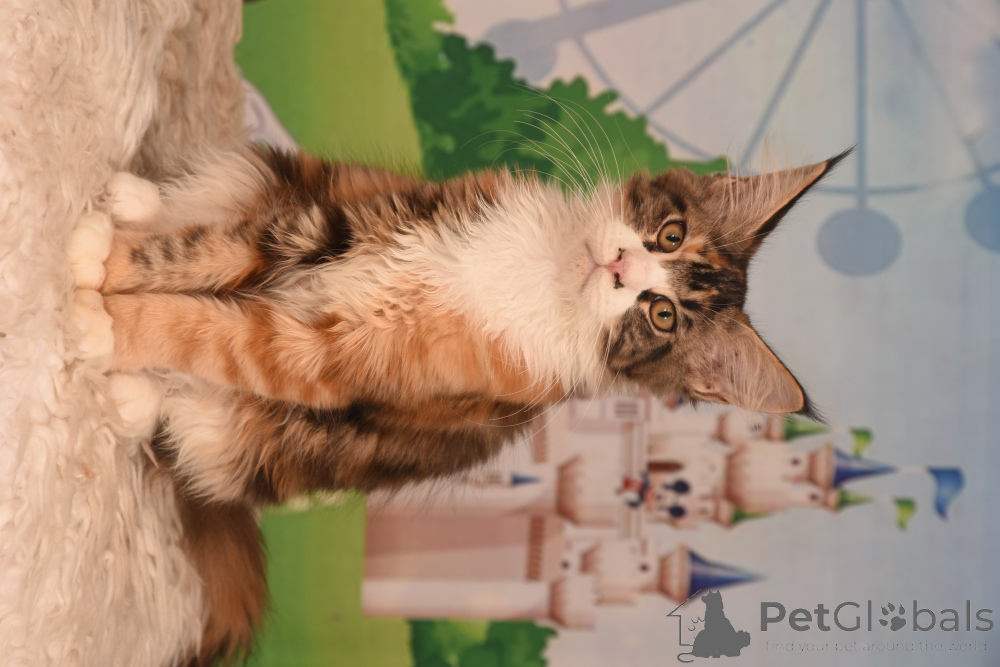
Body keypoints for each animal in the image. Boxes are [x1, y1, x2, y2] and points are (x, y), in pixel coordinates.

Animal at [98, 145, 846, 664]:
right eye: (667, 235)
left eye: (663, 315)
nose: (619, 268)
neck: (538, 279)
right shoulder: (340, 226)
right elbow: (210, 251)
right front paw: (104, 263)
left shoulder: (319, 360)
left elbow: (203, 330)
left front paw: (101, 316)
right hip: (290, 179)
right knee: (222, 200)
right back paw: (132, 199)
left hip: (261, 443)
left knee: (191, 412)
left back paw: (132, 393)